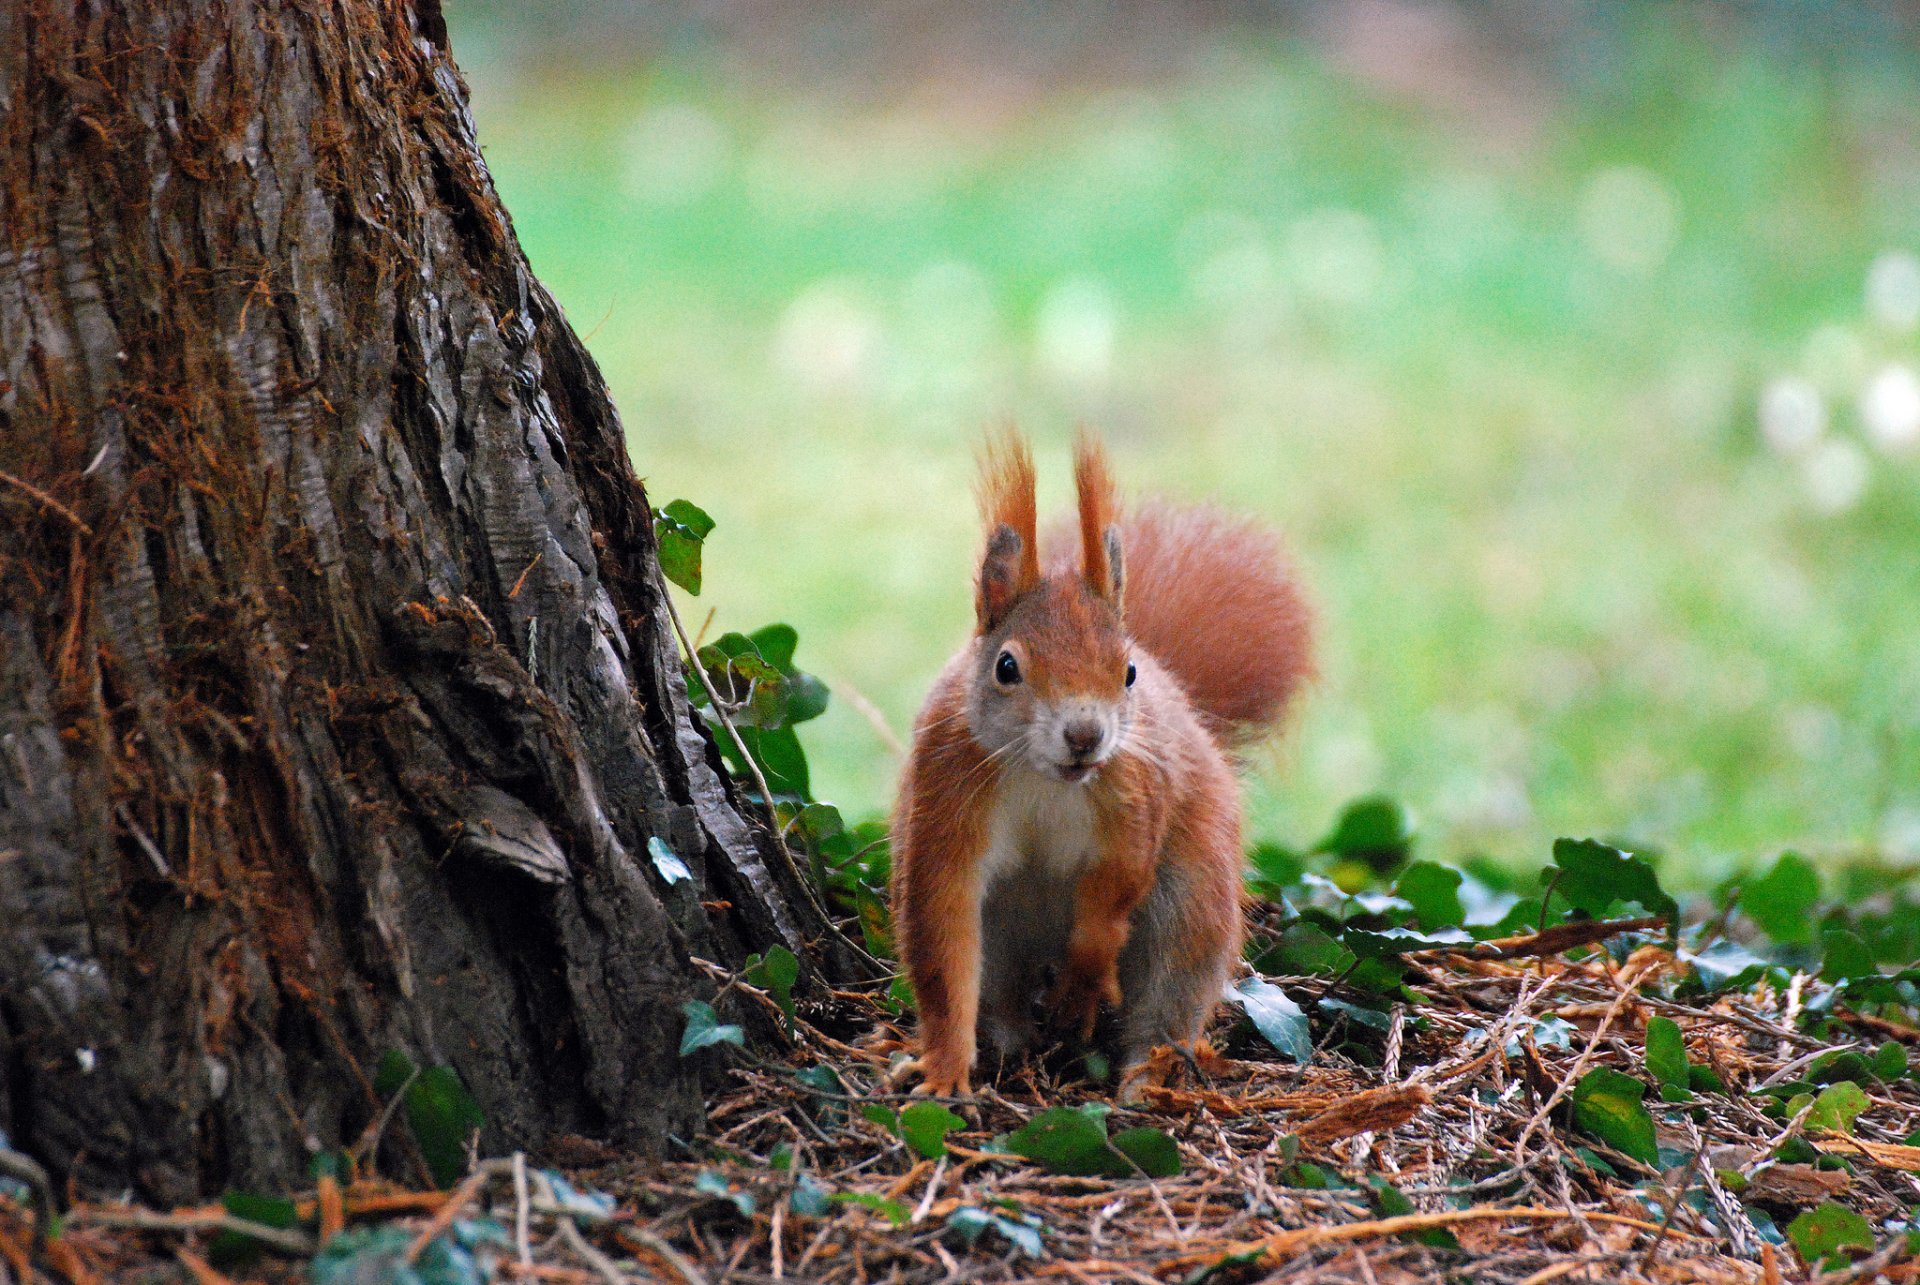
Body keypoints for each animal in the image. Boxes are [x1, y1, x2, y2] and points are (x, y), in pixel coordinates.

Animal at [890, 430, 1313, 1091]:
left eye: (1129, 671)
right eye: (1006, 667)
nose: (1086, 735)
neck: (1045, 779)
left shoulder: (1135, 791)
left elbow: (1116, 890)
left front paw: (1083, 985)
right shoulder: (948, 783)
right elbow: (941, 935)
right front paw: (944, 1067)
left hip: (1189, 906)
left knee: (1168, 998)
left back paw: (1141, 1077)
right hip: (1004, 932)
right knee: (1000, 993)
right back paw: (1010, 1044)